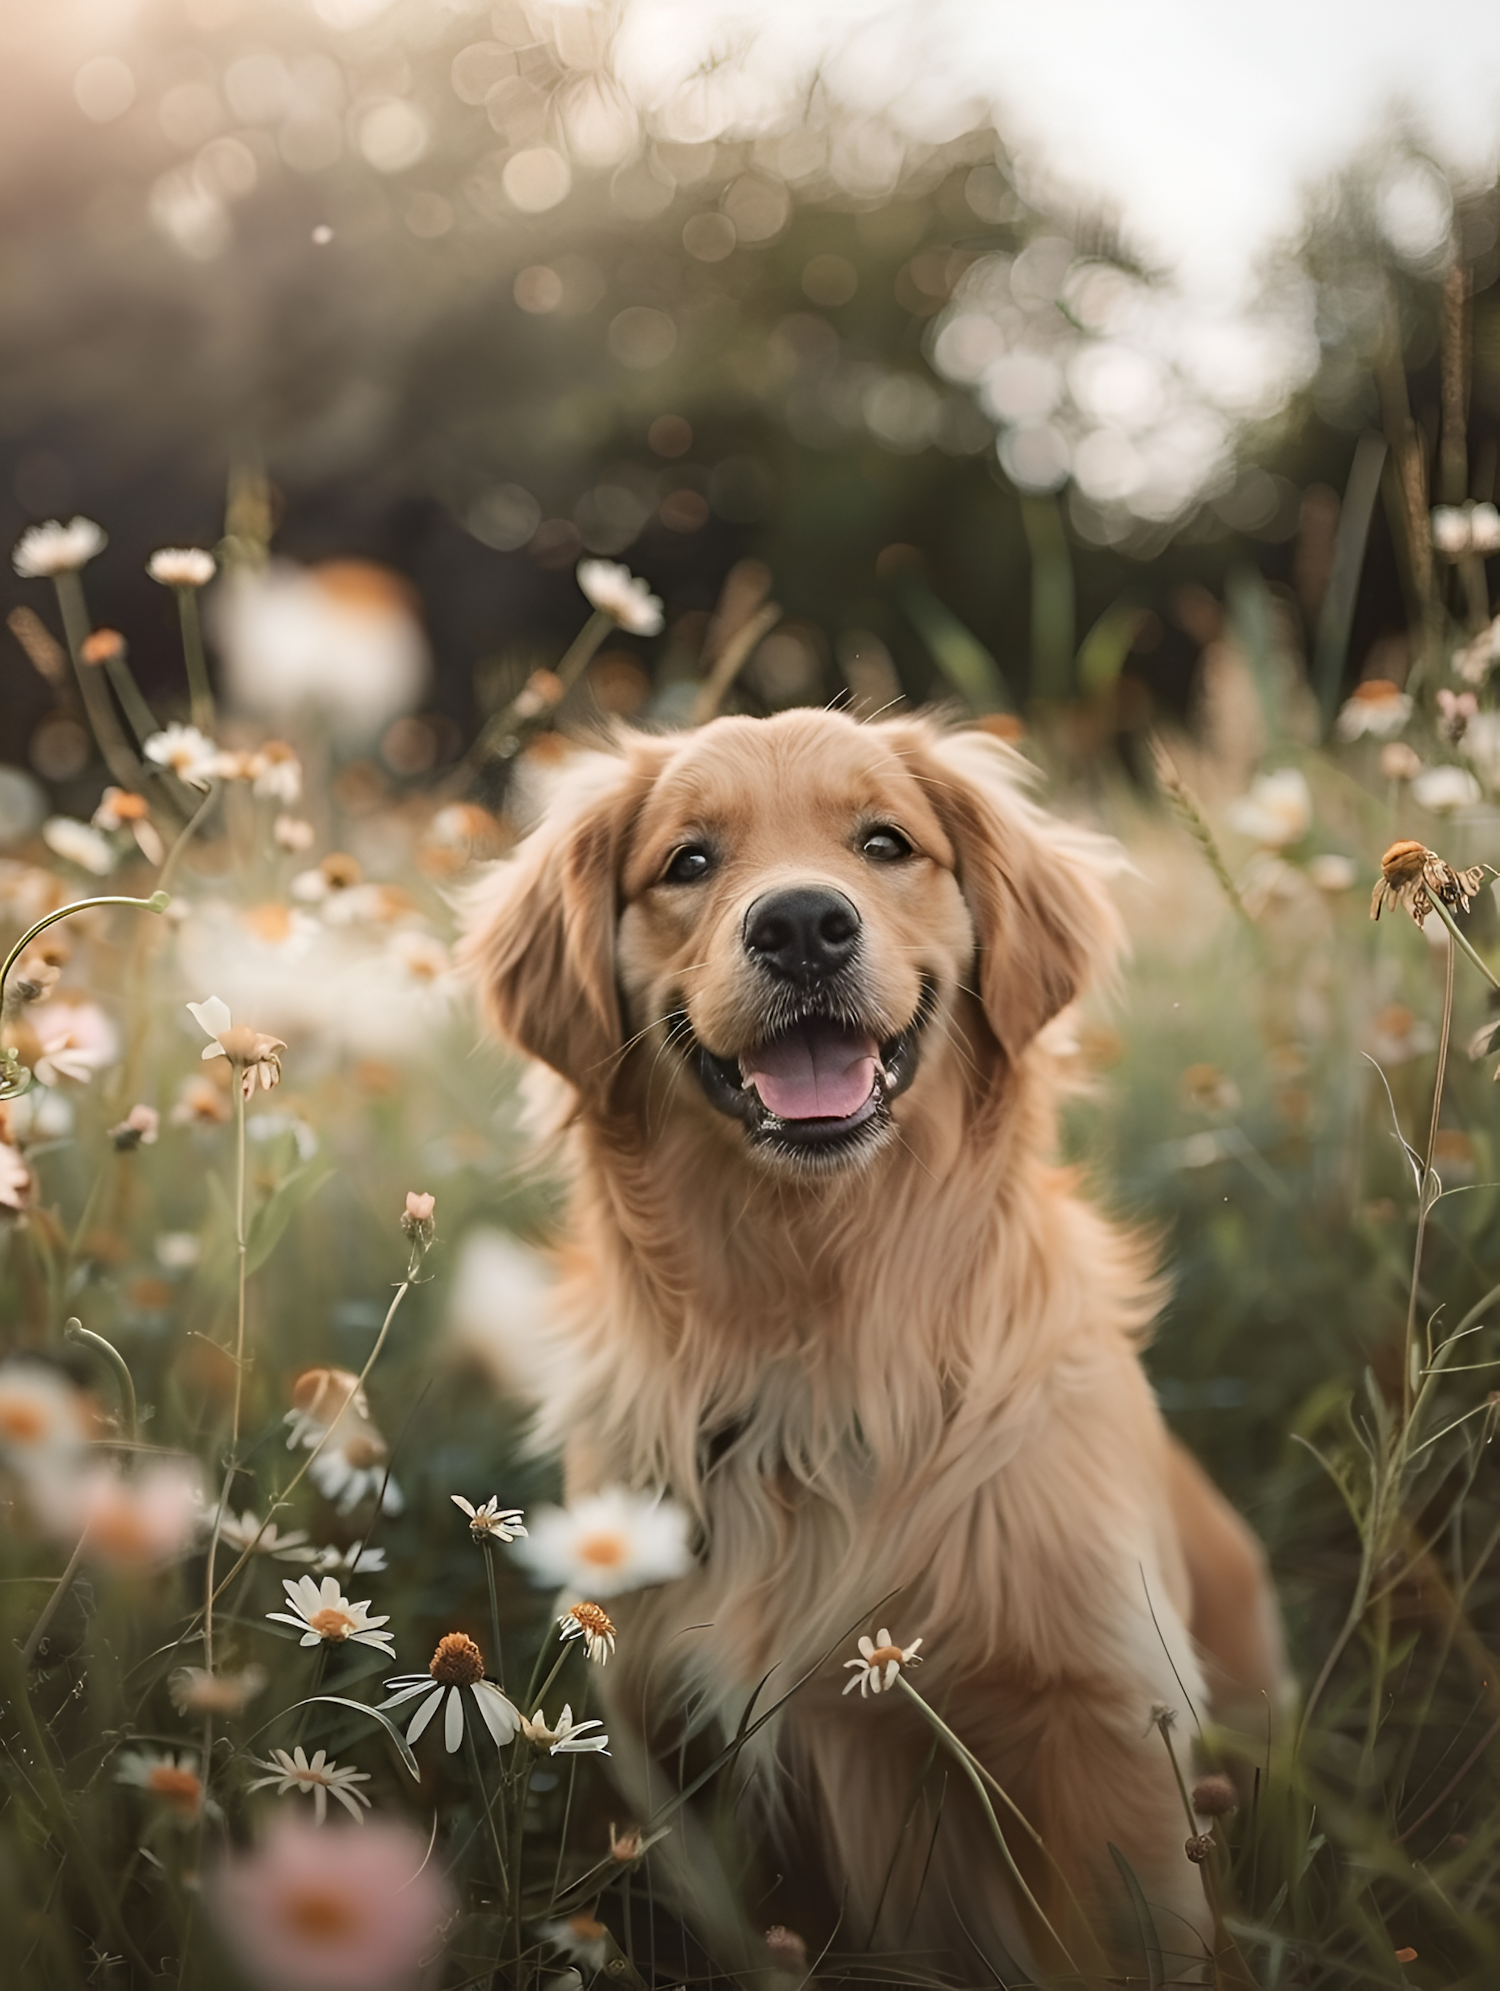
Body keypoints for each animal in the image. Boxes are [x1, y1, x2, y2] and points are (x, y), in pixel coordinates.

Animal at [462, 712, 1282, 1975]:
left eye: (887, 841)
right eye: (687, 860)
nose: (803, 923)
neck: (824, 1323)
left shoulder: (1096, 1723)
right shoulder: (669, 1744)